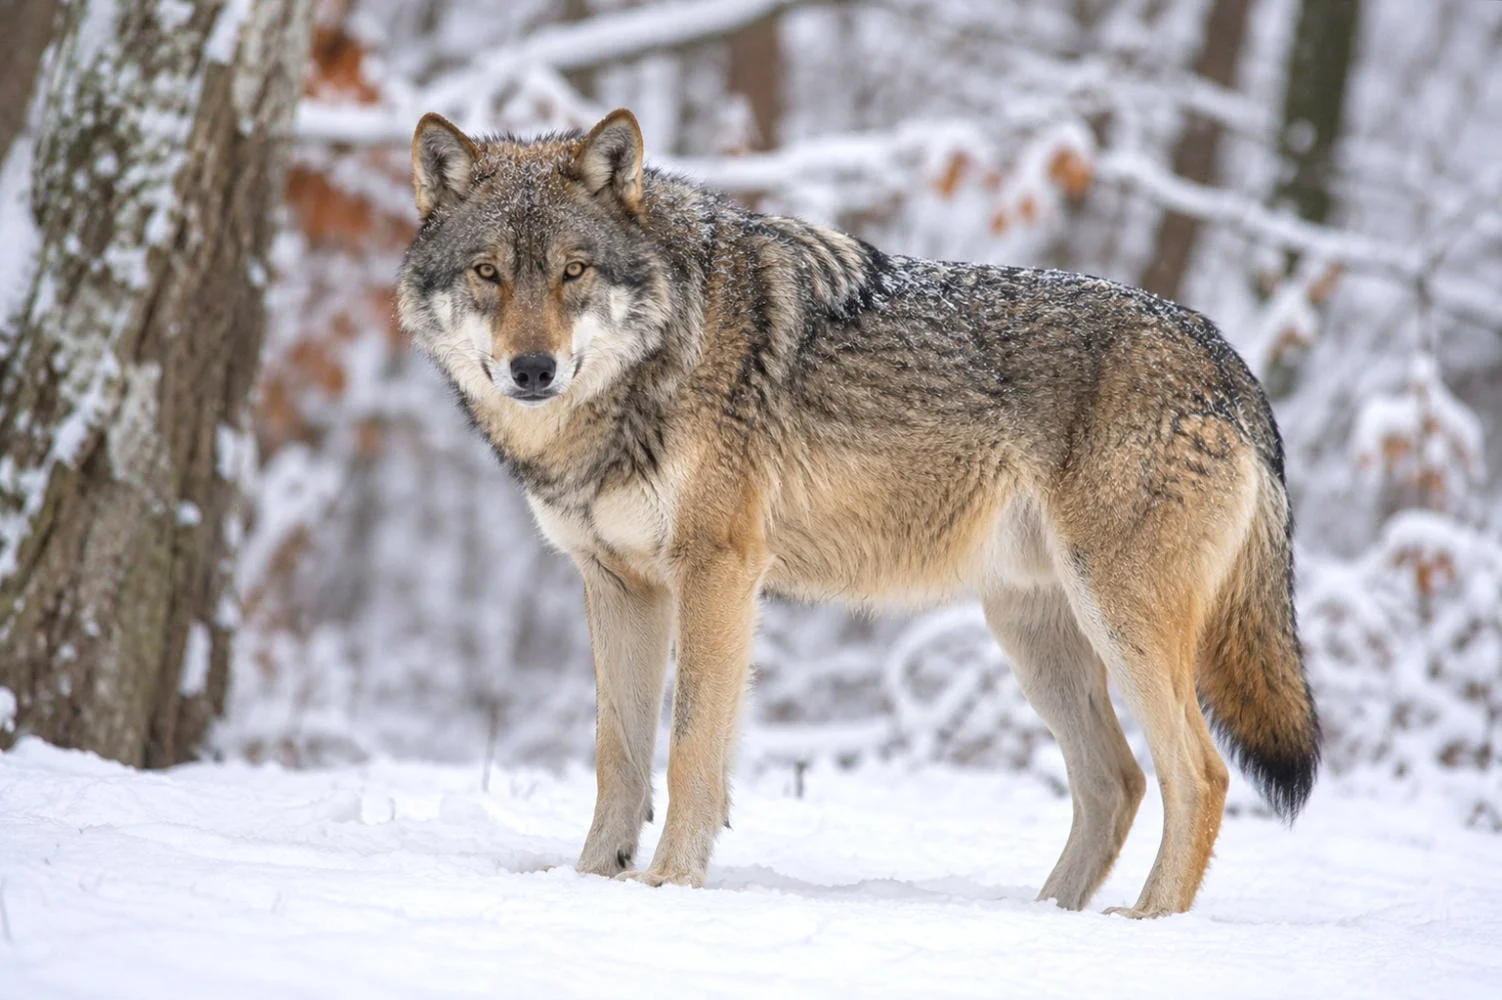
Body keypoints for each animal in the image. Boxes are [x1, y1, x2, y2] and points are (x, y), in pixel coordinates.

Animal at [396, 108, 1320, 917]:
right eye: (488, 272)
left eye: (574, 271)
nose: (532, 369)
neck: (652, 363)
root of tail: (1225, 357)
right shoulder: (619, 584)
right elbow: (616, 755)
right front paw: (594, 880)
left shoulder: (717, 569)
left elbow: (691, 749)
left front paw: (669, 888)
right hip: (1034, 632)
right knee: (1116, 783)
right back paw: (1051, 916)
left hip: (1118, 619)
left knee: (1197, 775)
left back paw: (1147, 921)